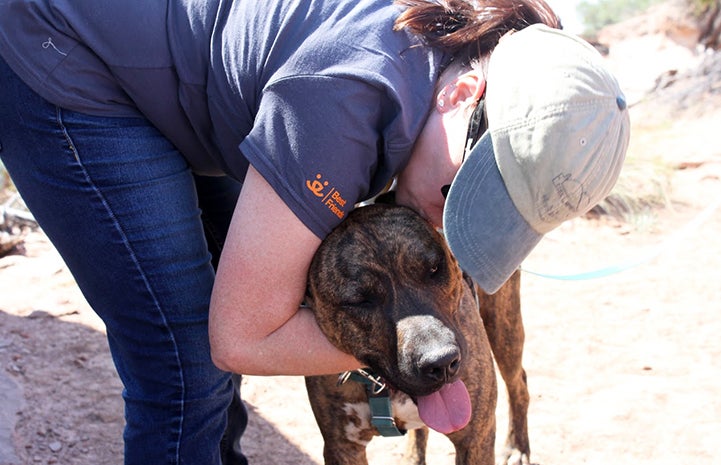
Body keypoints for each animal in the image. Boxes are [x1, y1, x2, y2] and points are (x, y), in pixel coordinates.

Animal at [304, 202, 528, 464]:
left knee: (519, 382)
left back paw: (517, 447)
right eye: (360, 301)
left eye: (434, 269)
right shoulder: (342, 447)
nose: (442, 362)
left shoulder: (475, 438)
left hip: (504, 326)